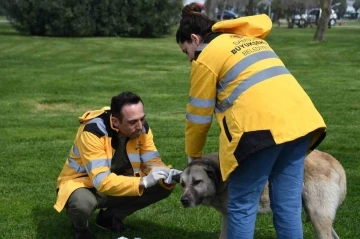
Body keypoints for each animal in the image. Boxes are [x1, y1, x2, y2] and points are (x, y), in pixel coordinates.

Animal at [176, 150, 348, 239]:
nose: (184, 200)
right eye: (182, 184)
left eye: (197, 182)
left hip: (318, 215)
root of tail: (335, 163)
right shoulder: (228, 216)